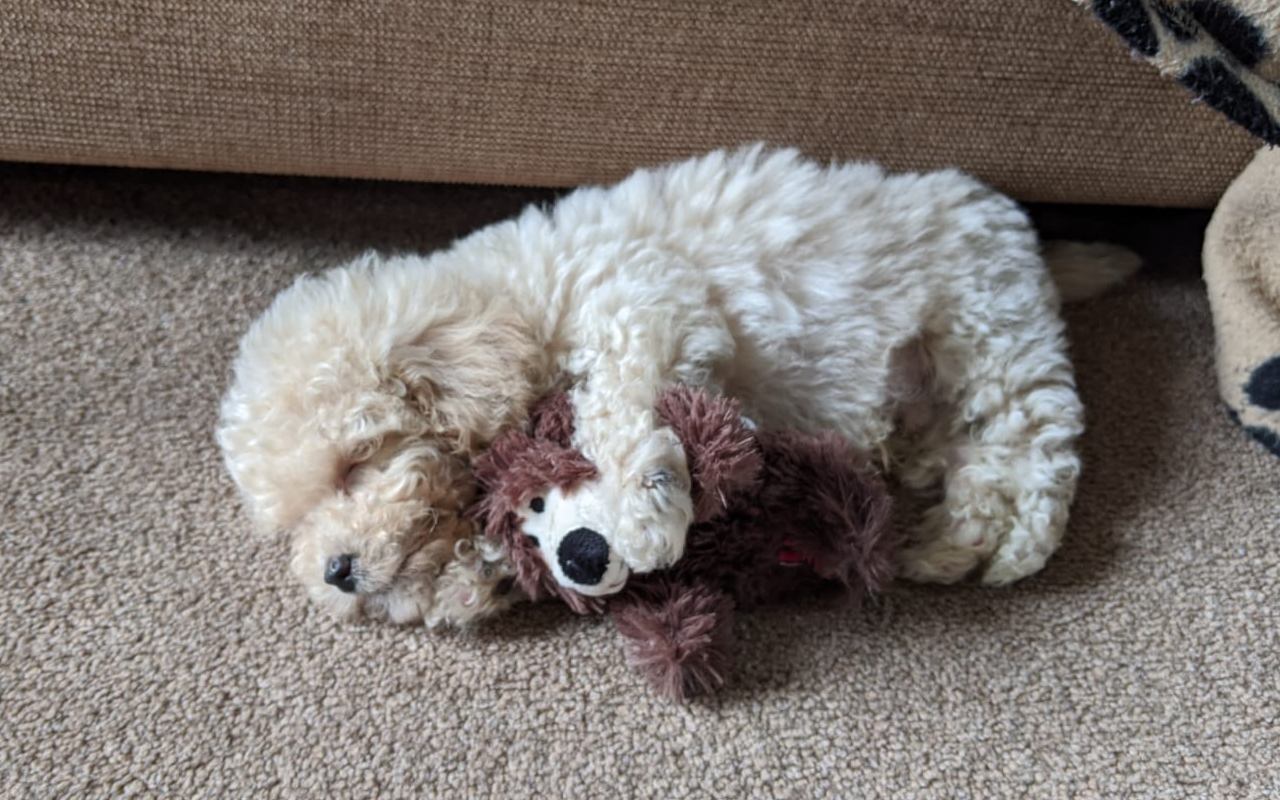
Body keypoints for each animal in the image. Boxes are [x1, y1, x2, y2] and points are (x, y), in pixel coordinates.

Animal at [215, 145, 1136, 624]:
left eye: (355, 465)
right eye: (297, 517)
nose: (335, 571)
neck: (508, 302)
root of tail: (1027, 238)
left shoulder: (646, 291)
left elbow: (617, 389)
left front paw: (645, 504)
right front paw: (469, 576)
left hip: (989, 330)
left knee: (1038, 455)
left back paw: (991, 550)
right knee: (972, 458)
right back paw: (944, 533)